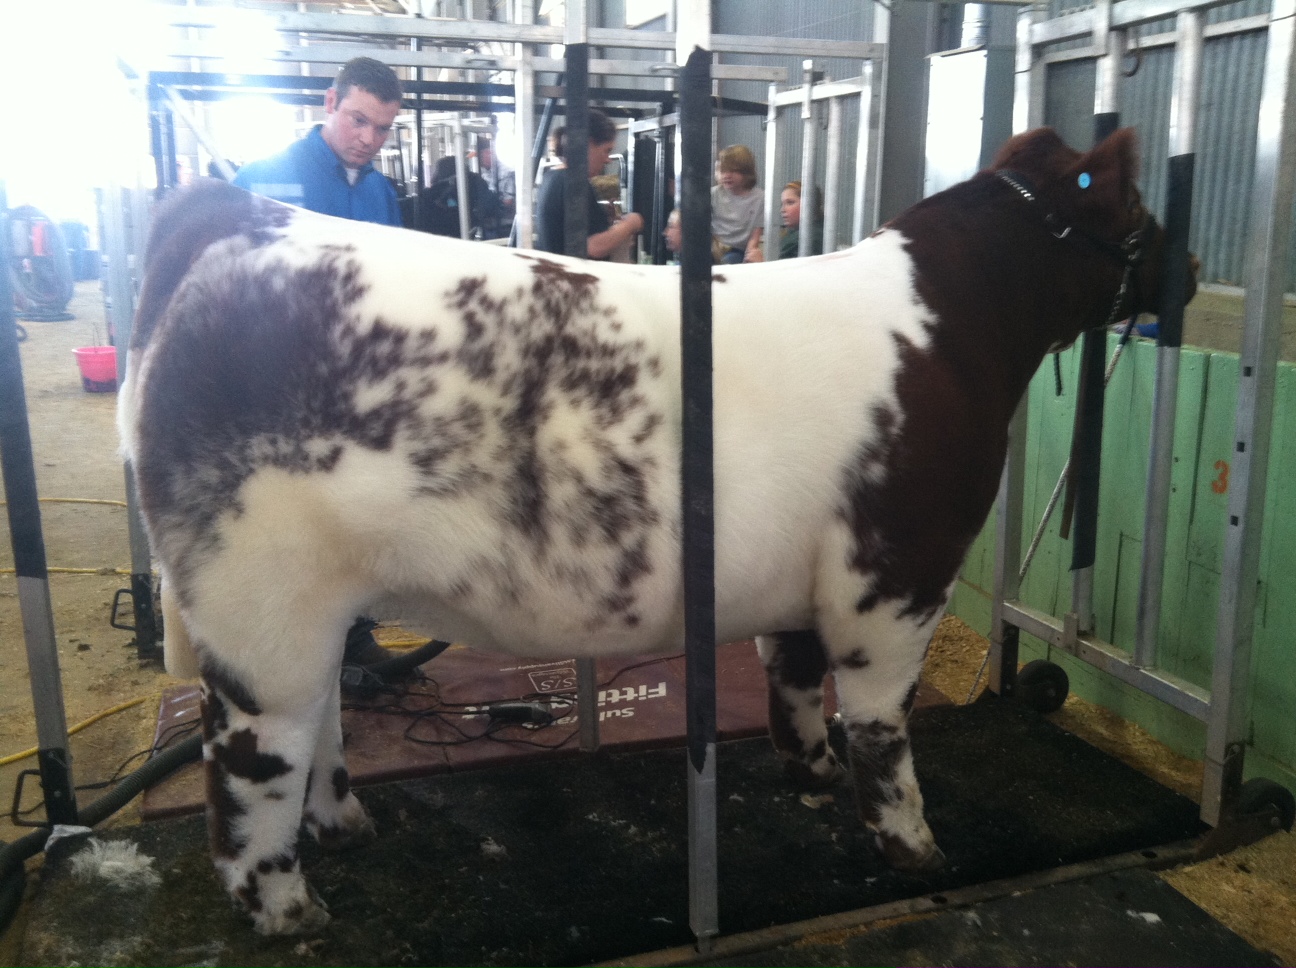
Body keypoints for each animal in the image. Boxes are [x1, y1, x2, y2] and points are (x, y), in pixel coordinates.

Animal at [118, 126, 1195, 935]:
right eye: (1139, 211)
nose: (1186, 272)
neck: (953, 330)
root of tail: (238, 215)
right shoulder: (894, 575)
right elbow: (883, 725)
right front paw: (913, 846)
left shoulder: (808, 575)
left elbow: (793, 678)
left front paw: (808, 772)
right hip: (260, 602)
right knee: (251, 762)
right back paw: (288, 908)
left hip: (314, 602)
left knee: (324, 719)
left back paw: (348, 823)